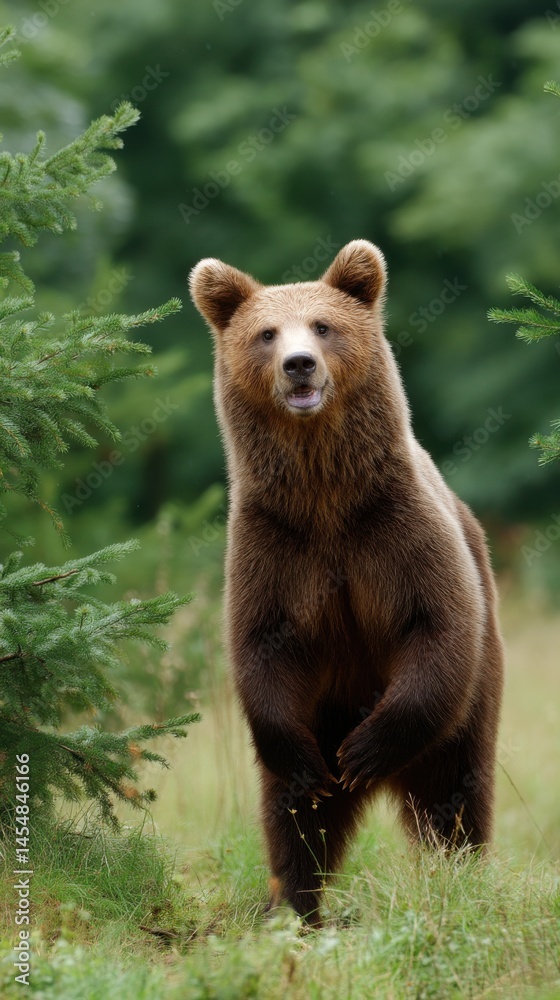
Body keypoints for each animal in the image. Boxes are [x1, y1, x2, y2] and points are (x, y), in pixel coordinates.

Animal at [189, 239, 504, 927]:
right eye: (266, 333)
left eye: (323, 325)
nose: (299, 365)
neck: (325, 495)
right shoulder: (275, 547)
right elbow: (260, 647)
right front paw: (319, 769)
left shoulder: (392, 530)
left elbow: (438, 625)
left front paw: (366, 750)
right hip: (320, 711)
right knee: (294, 815)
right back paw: (293, 904)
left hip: (470, 706)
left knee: (454, 793)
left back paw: (459, 879)